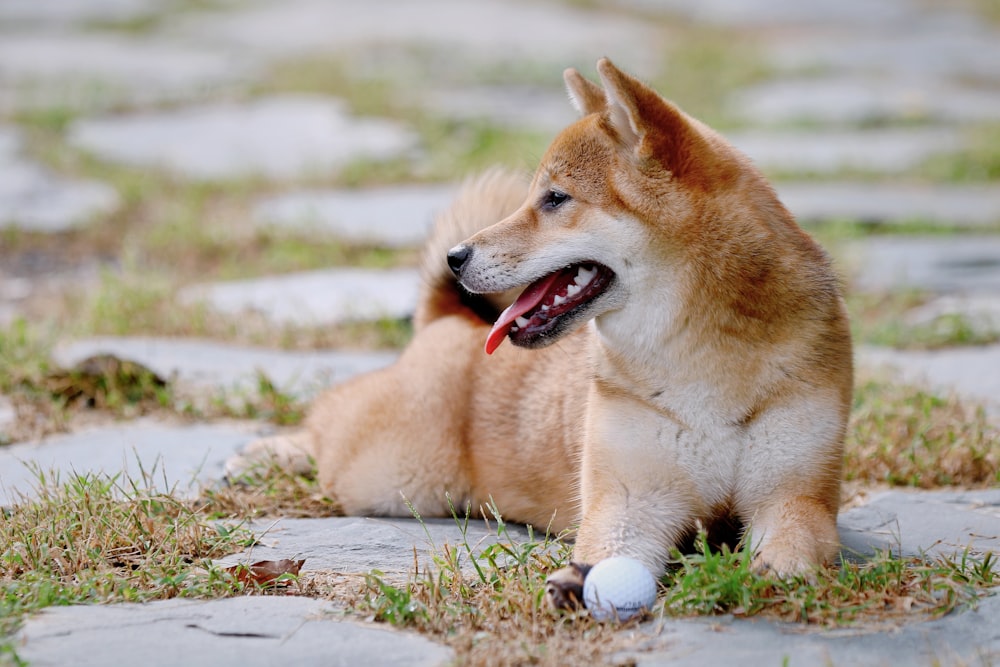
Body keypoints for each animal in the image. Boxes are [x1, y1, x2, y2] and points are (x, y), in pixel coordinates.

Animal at [227, 58, 852, 612]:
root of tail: (449, 320)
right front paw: (584, 578)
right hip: (390, 475)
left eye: (555, 198)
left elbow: (797, 537)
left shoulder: (795, 493)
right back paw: (267, 452)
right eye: (537, 194)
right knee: (328, 419)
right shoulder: (632, 497)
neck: (702, 363)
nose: (457, 257)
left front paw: (778, 572)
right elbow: (612, 543)